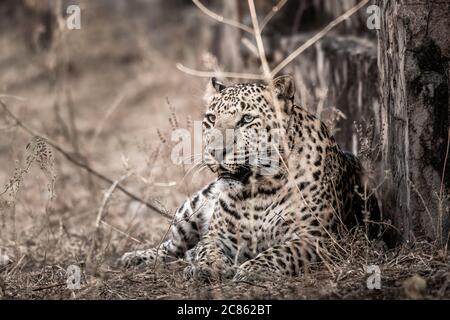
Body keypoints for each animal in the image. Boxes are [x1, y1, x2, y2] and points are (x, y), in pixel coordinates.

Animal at [121, 75, 382, 282]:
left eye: (246, 119)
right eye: (211, 119)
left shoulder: (314, 238)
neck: (259, 190)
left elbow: (282, 252)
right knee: (171, 247)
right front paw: (209, 266)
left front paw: (253, 269)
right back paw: (134, 257)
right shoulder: (217, 235)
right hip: (190, 211)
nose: (215, 151)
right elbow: (207, 248)